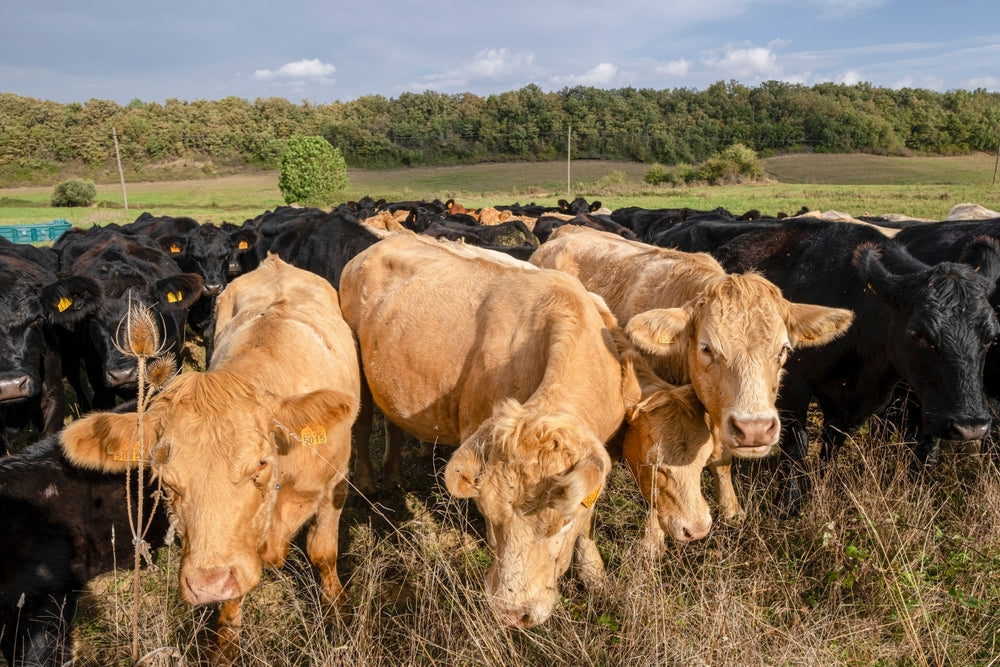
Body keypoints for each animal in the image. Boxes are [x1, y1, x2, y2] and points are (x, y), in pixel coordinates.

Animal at [59, 254, 360, 661]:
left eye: (260, 464)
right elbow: (233, 601)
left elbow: (323, 553)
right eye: (166, 481)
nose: (208, 584)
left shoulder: (335, 486)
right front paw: (224, 645)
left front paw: (338, 614)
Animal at [339, 232, 640, 627]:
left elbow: (588, 522)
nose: (512, 612)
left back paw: (393, 476)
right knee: (362, 425)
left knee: (394, 423)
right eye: (486, 513)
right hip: (357, 363)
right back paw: (367, 483)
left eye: (563, 521)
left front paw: (596, 578)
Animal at [661, 217, 1000, 515]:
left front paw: (825, 483)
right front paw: (789, 504)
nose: (970, 425)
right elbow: (796, 445)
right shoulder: (794, 387)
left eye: (991, 335)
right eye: (918, 333)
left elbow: (833, 442)